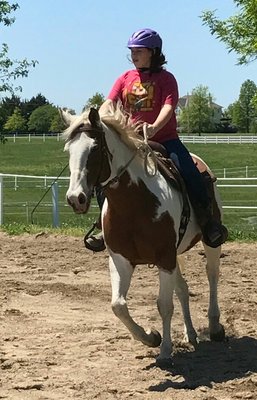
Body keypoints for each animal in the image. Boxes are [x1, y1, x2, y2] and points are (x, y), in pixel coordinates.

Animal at [61, 104, 224, 360]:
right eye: (69, 149)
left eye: (95, 148)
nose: (75, 198)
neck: (134, 203)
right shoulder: (121, 259)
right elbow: (118, 306)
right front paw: (151, 337)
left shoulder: (165, 259)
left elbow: (164, 305)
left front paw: (165, 350)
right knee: (183, 289)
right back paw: (190, 334)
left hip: (210, 243)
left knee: (212, 275)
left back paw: (215, 326)